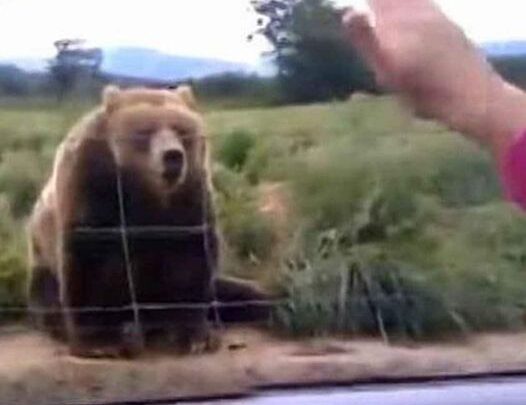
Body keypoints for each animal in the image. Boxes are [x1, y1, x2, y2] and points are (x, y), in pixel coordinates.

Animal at [26, 85, 270, 356]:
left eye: (181, 130)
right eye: (144, 131)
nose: (172, 156)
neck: (147, 192)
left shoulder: (188, 198)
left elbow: (189, 260)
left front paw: (195, 335)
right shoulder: (91, 187)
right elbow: (89, 262)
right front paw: (102, 342)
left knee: (240, 292)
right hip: (42, 261)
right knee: (48, 296)